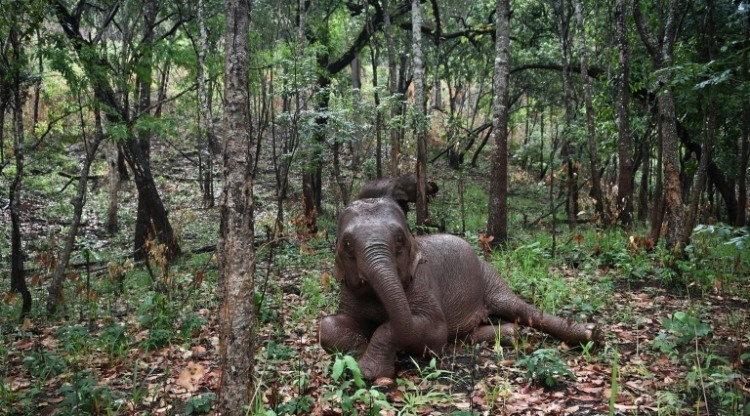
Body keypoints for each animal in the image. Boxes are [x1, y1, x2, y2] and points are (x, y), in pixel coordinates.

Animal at [320, 198, 604, 380]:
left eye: (400, 240)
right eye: (347, 244)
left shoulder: (422, 282)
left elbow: (434, 330)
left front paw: (369, 370)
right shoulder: (347, 291)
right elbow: (327, 326)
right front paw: (357, 350)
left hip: (488, 275)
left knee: (519, 308)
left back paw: (591, 333)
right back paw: (507, 335)